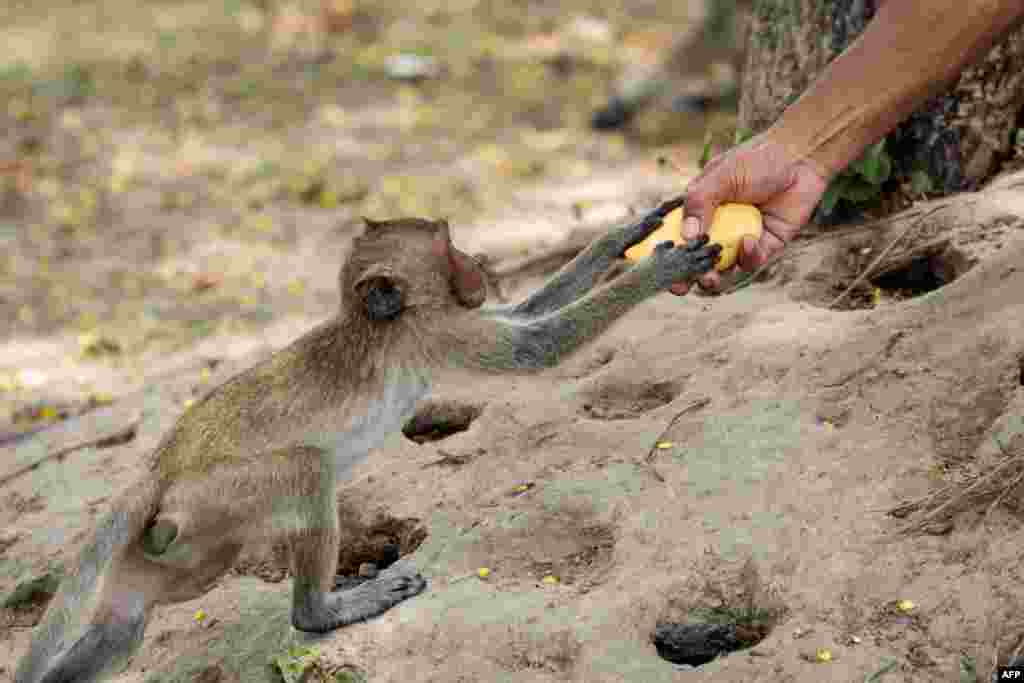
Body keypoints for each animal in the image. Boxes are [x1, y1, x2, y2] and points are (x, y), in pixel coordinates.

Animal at [16, 194, 720, 679]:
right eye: (448, 248)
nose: (481, 264)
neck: (382, 320)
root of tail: (158, 466)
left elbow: (527, 313)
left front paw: (618, 236)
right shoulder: (434, 331)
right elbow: (535, 344)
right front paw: (656, 272)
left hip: (179, 547)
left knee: (124, 625)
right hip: (219, 496)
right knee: (307, 471)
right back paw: (323, 611)